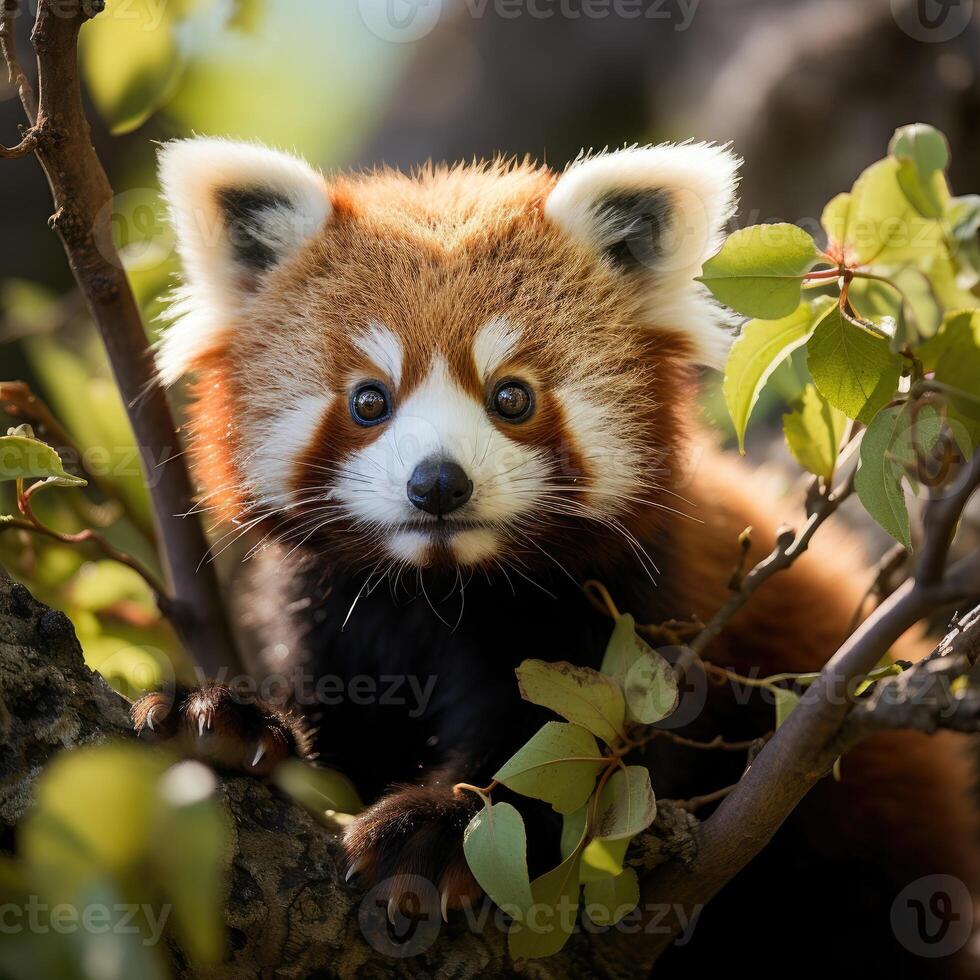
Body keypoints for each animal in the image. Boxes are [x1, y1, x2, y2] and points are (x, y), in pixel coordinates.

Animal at [138, 140, 980, 980]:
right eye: (369, 400)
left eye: (511, 397)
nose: (437, 483)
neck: (441, 589)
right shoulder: (326, 605)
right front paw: (225, 719)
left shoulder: (634, 608)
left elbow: (577, 757)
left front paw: (442, 827)